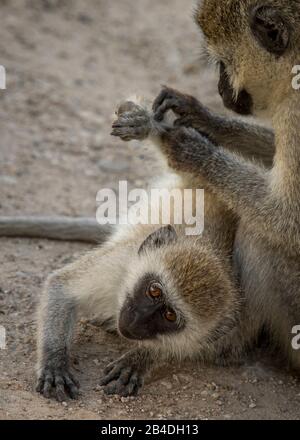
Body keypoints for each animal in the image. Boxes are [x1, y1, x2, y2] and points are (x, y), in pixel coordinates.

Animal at [35, 98, 241, 400]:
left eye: (169, 315)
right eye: (153, 290)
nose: (135, 320)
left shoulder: (207, 335)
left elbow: (180, 349)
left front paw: (139, 359)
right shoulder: (119, 261)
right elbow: (61, 288)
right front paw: (55, 362)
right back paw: (148, 126)